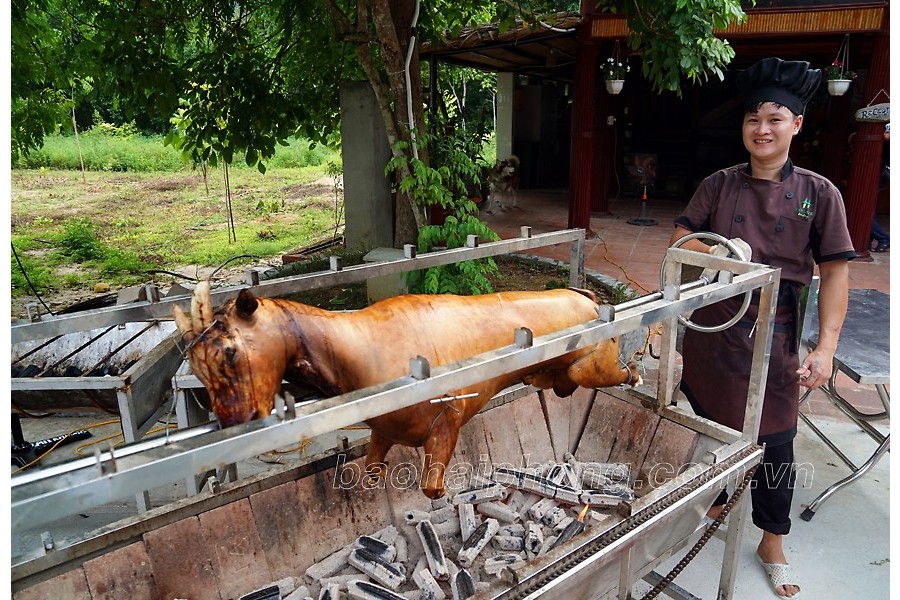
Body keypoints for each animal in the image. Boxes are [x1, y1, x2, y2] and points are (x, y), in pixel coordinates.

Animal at [174, 281, 642, 498]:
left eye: (230, 351)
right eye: (195, 366)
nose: (235, 424)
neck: (357, 350)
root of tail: (587, 297)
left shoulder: (448, 419)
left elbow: (433, 488)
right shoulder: (385, 431)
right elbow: (372, 468)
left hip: (591, 367)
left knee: (617, 372)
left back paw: (637, 373)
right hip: (564, 379)